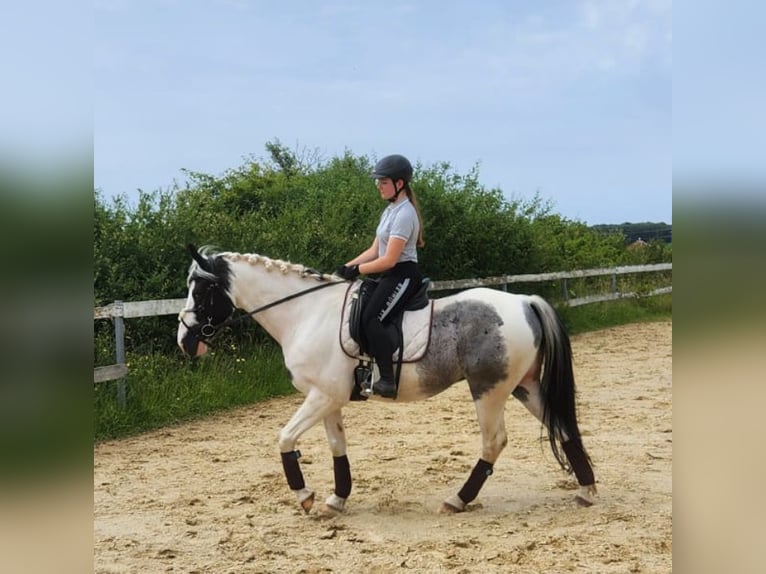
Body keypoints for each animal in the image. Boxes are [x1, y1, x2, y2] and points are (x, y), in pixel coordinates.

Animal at [177, 245, 596, 516]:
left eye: (202, 290)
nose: (185, 341)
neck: (305, 313)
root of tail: (525, 301)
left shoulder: (321, 396)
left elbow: (285, 439)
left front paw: (305, 496)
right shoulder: (327, 397)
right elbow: (337, 446)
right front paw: (336, 500)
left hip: (489, 389)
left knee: (494, 442)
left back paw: (458, 499)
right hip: (524, 386)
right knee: (561, 426)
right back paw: (586, 490)